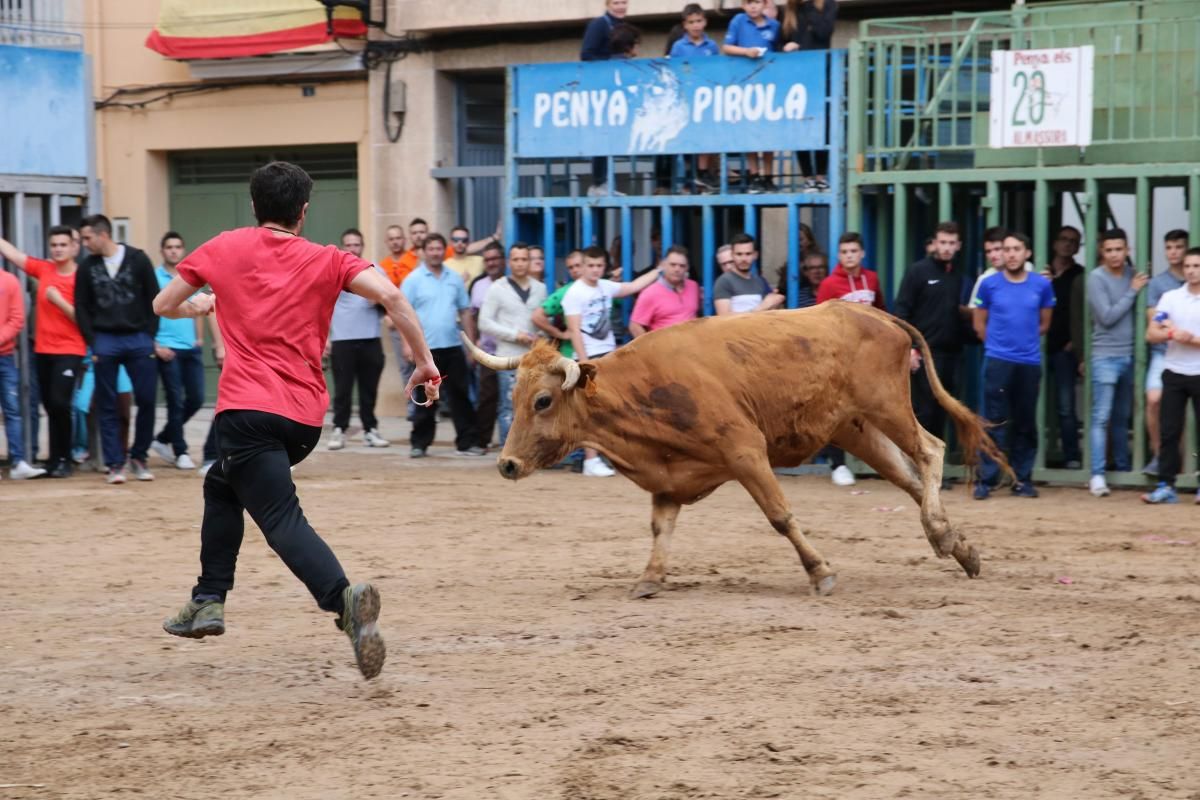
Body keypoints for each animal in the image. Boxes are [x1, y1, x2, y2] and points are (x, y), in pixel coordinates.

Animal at [463, 303, 1008, 597]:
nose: (507, 464)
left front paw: (821, 573)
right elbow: (661, 528)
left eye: (543, 400)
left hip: (887, 405)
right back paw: (958, 547)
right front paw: (650, 578)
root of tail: (870, 311)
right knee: (910, 479)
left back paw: (942, 534)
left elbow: (781, 517)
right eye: (514, 397)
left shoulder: (746, 453)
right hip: (856, 429)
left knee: (931, 451)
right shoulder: (669, 477)